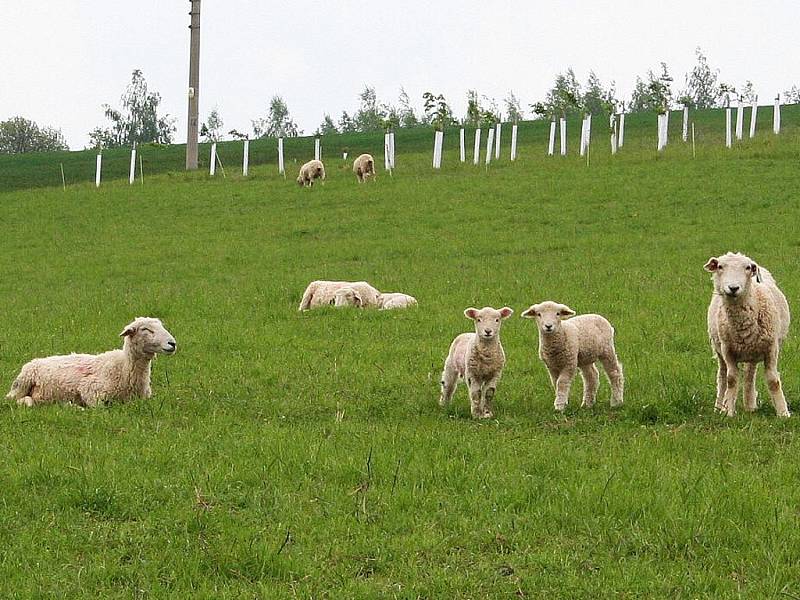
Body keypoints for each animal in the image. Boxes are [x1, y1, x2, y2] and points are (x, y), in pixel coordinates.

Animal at [6, 316, 177, 410]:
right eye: (145, 329)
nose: (172, 343)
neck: (123, 366)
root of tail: (35, 360)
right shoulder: (90, 391)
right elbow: (101, 408)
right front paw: (75, 406)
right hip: (21, 384)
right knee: (14, 400)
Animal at [704, 253, 792, 418]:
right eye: (720, 266)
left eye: (747, 268)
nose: (733, 288)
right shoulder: (727, 350)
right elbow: (731, 379)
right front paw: (729, 411)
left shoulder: (772, 349)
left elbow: (773, 381)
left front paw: (783, 413)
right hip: (718, 349)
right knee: (722, 376)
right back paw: (719, 406)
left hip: (754, 351)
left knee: (750, 375)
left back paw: (750, 405)